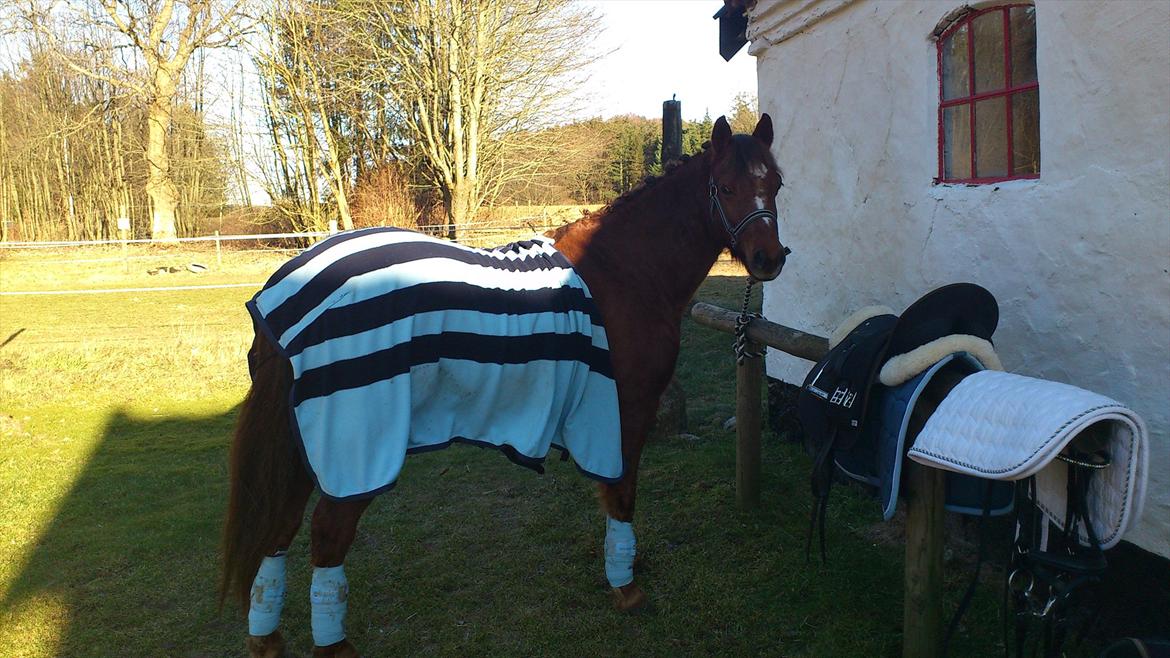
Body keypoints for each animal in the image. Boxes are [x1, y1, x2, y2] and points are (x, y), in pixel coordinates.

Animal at [217, 115, 786, 650]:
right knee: (327, 534)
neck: (625, 269)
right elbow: (622, 494)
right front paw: (625, 585)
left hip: (301, 442)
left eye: (776, 182)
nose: (770, 259)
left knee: (280, 528)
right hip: (354, 444)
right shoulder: (625, 410)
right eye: (726, 186)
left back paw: (266, 638)